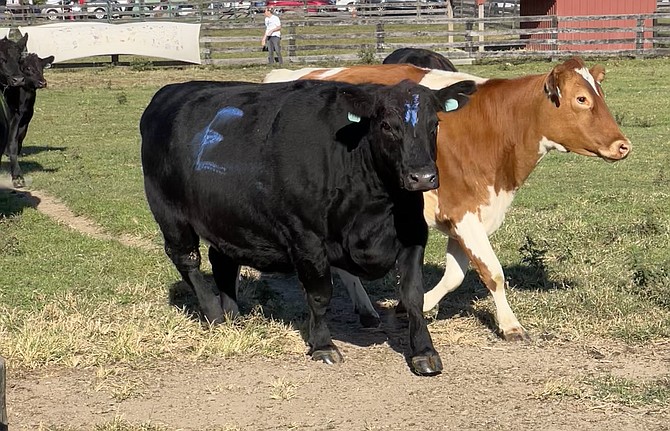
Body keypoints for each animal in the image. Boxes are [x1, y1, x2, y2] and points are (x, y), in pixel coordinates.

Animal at [142, 79, 478, 376]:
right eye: (386, 125)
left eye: (434, 124)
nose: (421, 177)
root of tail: (170, 92)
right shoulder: (306, 237)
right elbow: (319, 295)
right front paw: (323, 345)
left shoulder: (412, 234)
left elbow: (412, 295)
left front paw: (424, 352)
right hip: (169, 213)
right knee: (188, 260)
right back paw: (213, 313)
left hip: (228, 218)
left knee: (222, 260)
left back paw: (234, 315)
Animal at [266, 58, 632, 340]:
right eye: (581, 99)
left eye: (599, 95)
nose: (623, 145)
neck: (495, 126)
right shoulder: (464, 211)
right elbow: (493, 272)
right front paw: (510, 325)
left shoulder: (465, 216)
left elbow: (455, 275)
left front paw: (417, 307)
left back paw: (367, 310)